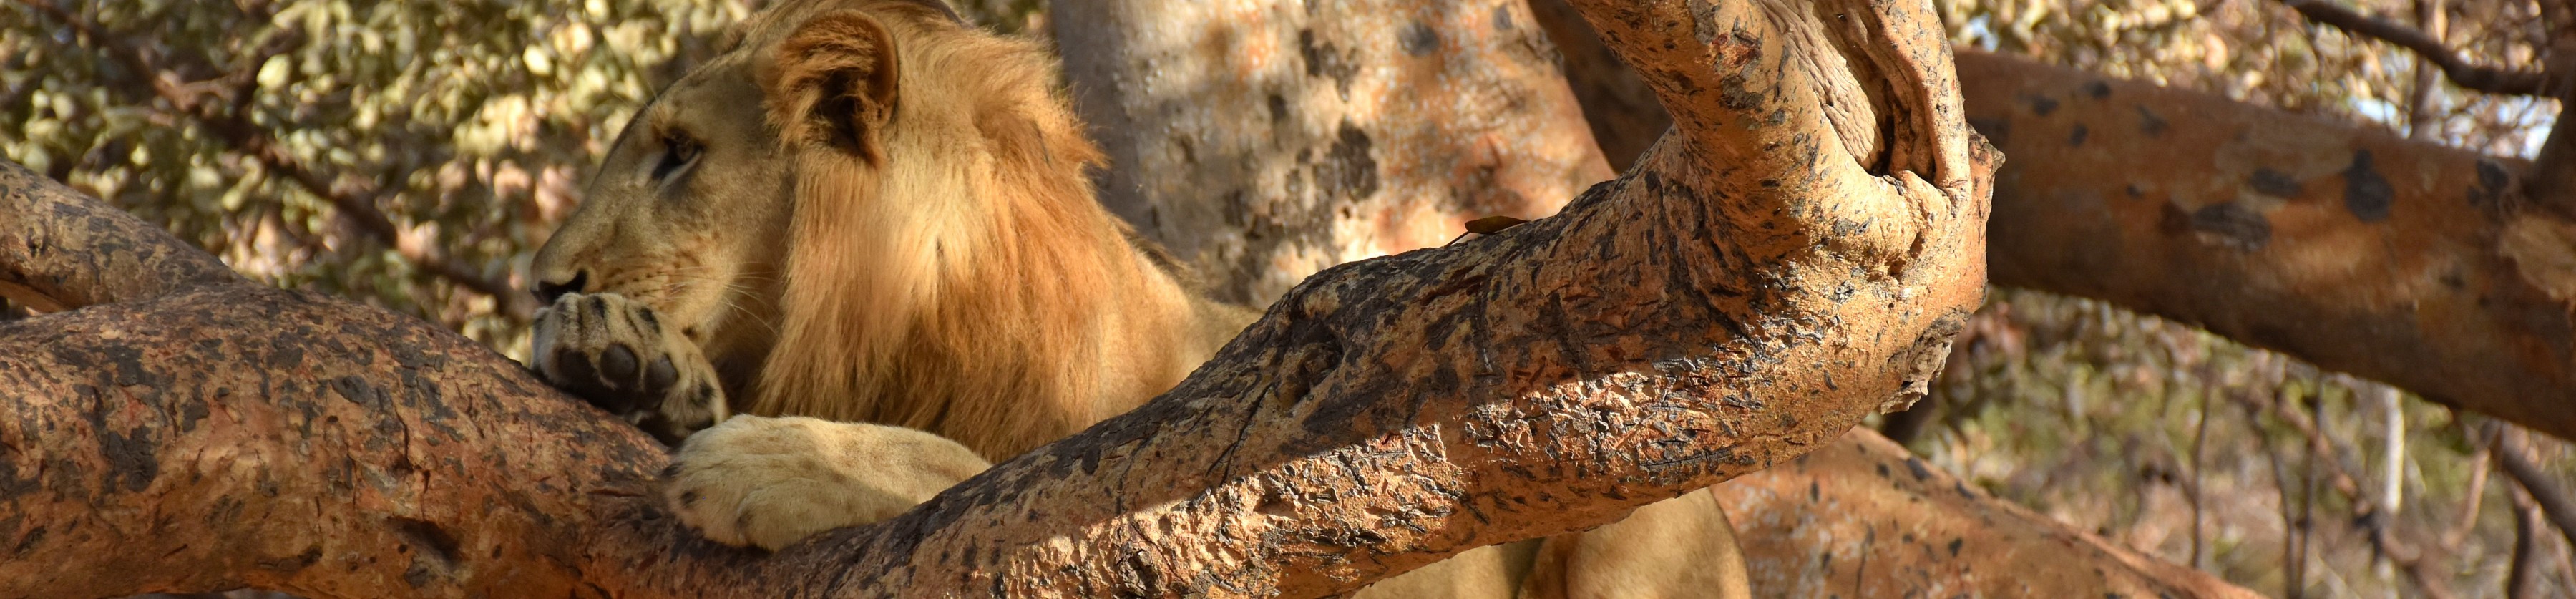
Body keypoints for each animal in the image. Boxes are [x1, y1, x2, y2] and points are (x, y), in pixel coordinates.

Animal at [522, 1, 1752, 593]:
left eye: (679, 155)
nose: (540, 282)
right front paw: (625, 363)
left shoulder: (1186, 487)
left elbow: (982, 476)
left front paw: (764, 460)